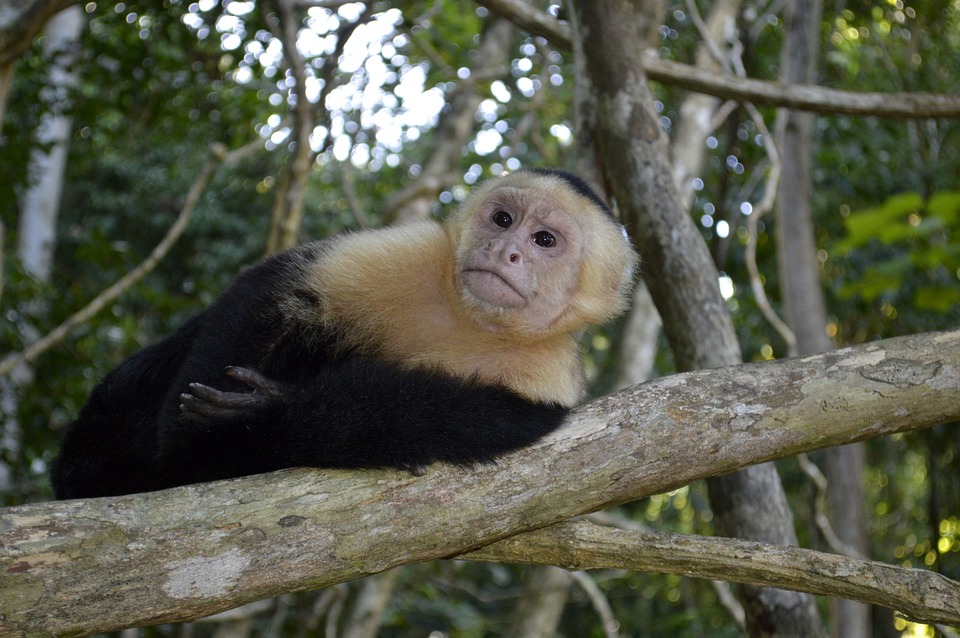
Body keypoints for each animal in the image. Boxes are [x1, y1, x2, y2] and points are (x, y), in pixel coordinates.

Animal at [50, 169, 636, 500]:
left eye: (544, 240)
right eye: (503, 219)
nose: (506, 250)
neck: (471, 319)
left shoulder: (547, 375)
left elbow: (461, 419)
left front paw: (267, 416)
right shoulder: (416, 252)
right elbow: (277, 288)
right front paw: (191, 446)